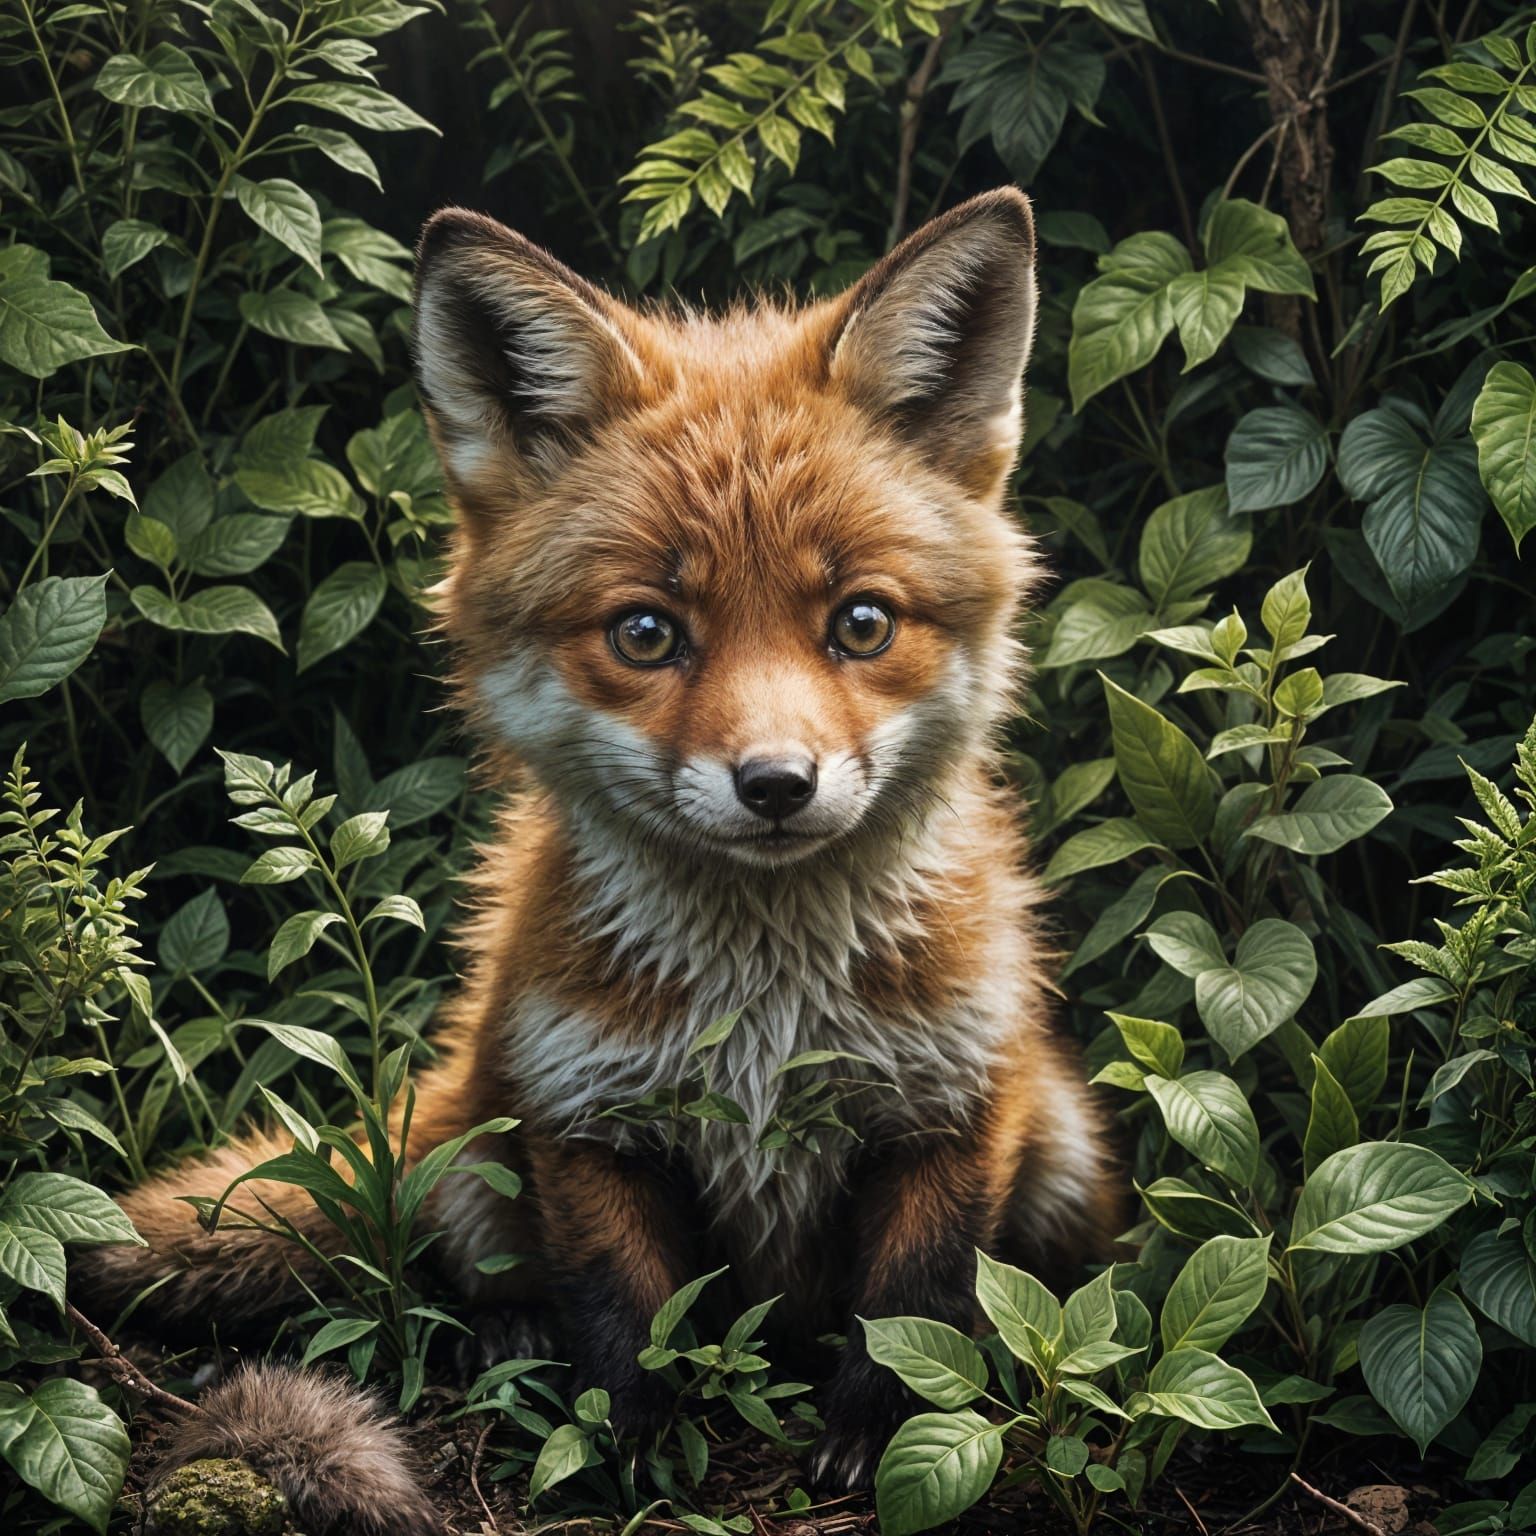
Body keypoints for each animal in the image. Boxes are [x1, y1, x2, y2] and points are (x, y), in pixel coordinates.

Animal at [80, 187, 1117, 1533]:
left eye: (861, 622)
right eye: (646, 633)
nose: (776, 785)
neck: (765, 1013)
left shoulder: (956, 1106)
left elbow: (915, 1308)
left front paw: (879, 1439)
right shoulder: (583, 1115)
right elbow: (624, 1311)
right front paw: (629, 1451)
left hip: (1067, 1155)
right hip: (480, 1127)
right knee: (474, 1258)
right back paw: (505, 1339)